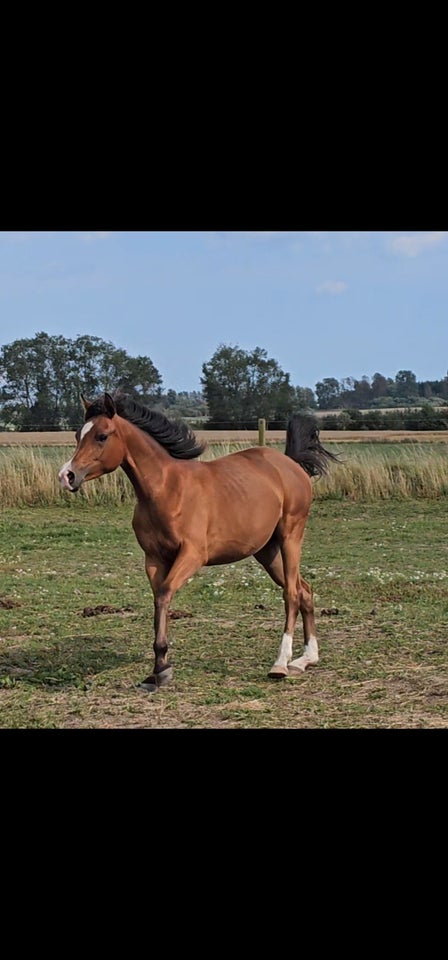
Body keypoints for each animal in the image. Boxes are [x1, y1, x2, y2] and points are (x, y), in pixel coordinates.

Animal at [59, 390, 338, 688]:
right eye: (77, 435)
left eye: (101, 436)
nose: (67, 476)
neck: (166, 490)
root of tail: (290, 465)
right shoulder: (154, 559)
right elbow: (159, 599)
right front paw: (158, 668)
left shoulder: (192, 555)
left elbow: (165, 594)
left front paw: (162, 666)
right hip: (267, 551)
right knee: (304, 589)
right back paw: (306, 659)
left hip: (290, 536)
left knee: (292, 593)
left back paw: (281, 664)